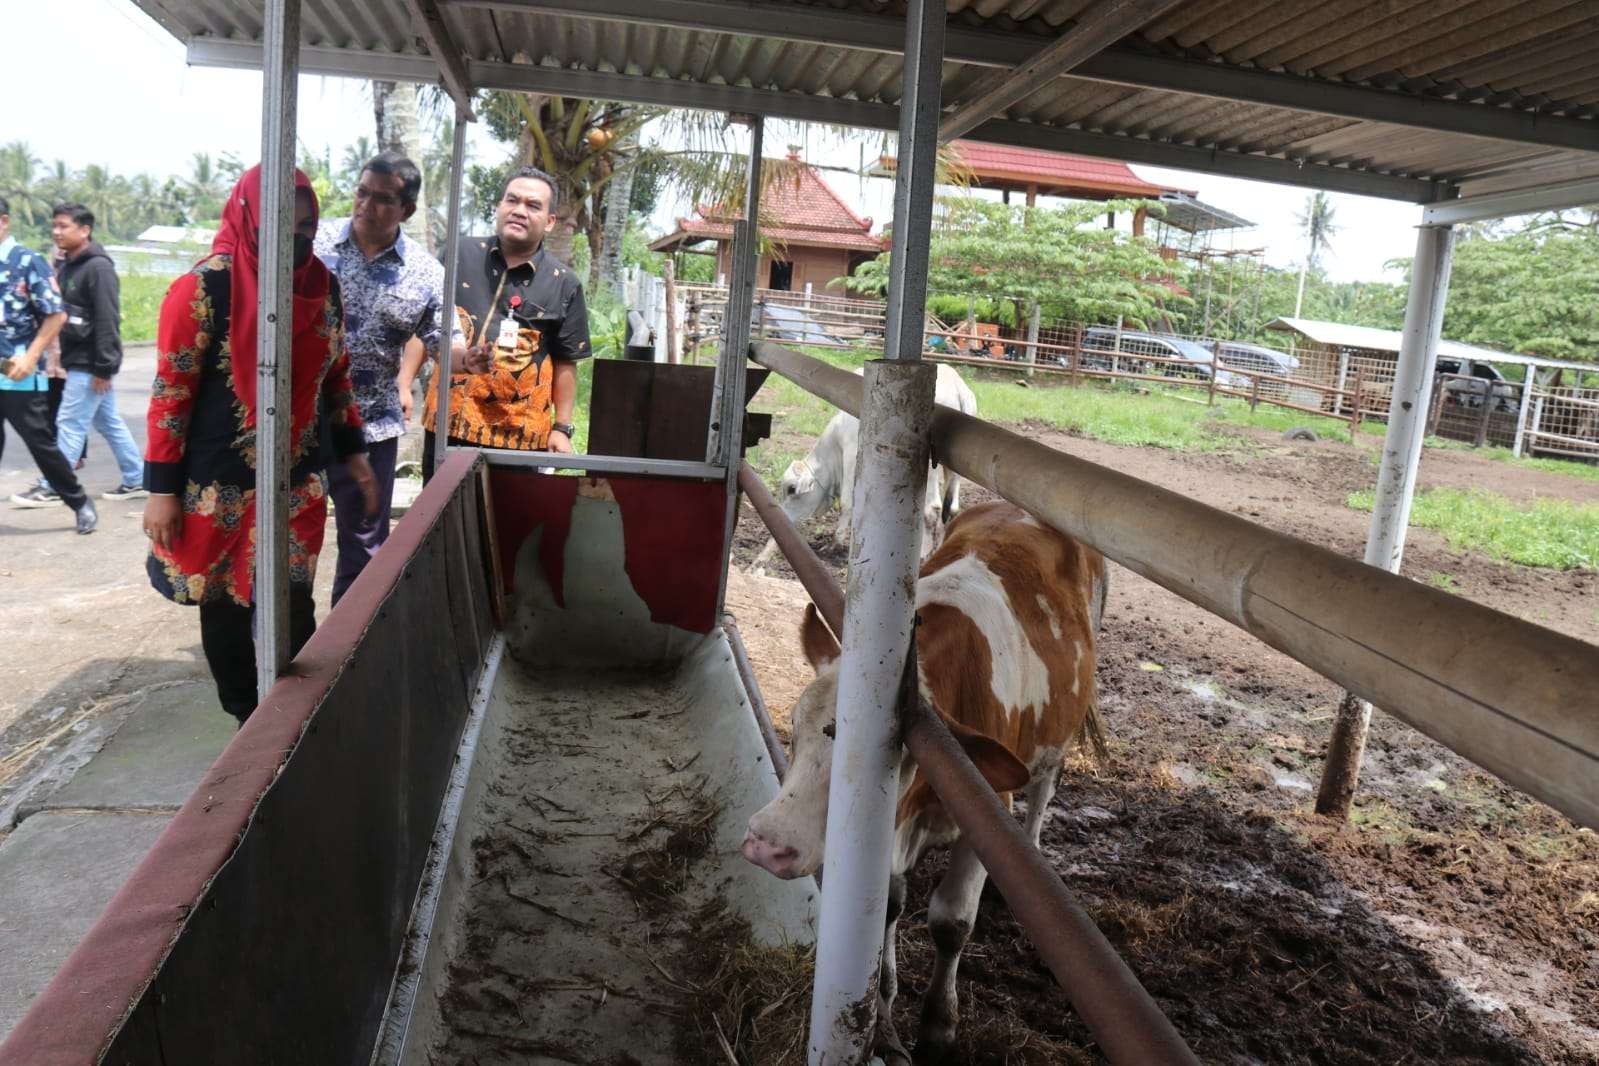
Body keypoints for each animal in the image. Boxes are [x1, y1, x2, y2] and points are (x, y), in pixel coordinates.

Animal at [738, 505, 1106, 1054]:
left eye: (893, 757)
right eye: (795, 727)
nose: (767, 843)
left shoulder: (989, 813)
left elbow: (951, 923)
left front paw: (937, 1025)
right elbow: (888, 906)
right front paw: (885, 1001)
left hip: (1056, 740)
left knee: (1045, 786)